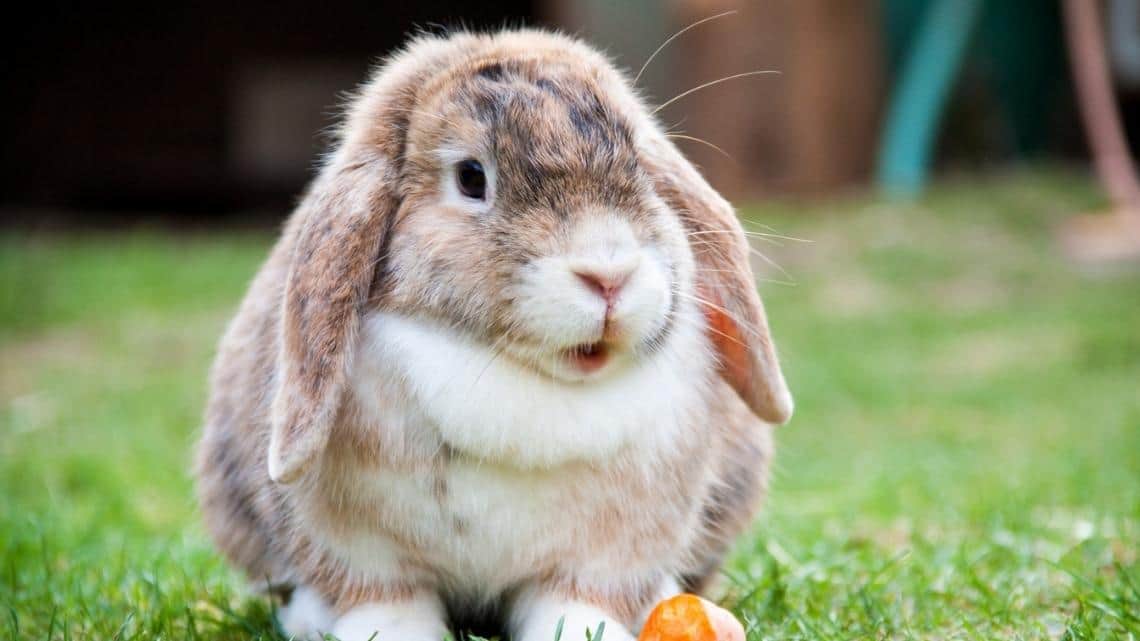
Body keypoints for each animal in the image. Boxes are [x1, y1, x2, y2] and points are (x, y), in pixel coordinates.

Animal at [195, 28, 792, 641]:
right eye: (471, 177)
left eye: (642, 169)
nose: (608, 274)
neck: (519, 375)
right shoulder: (361, 551)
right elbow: (385, 599)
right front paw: (389, 632)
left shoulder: (608, 554)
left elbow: (577, 600)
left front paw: (584, 629)